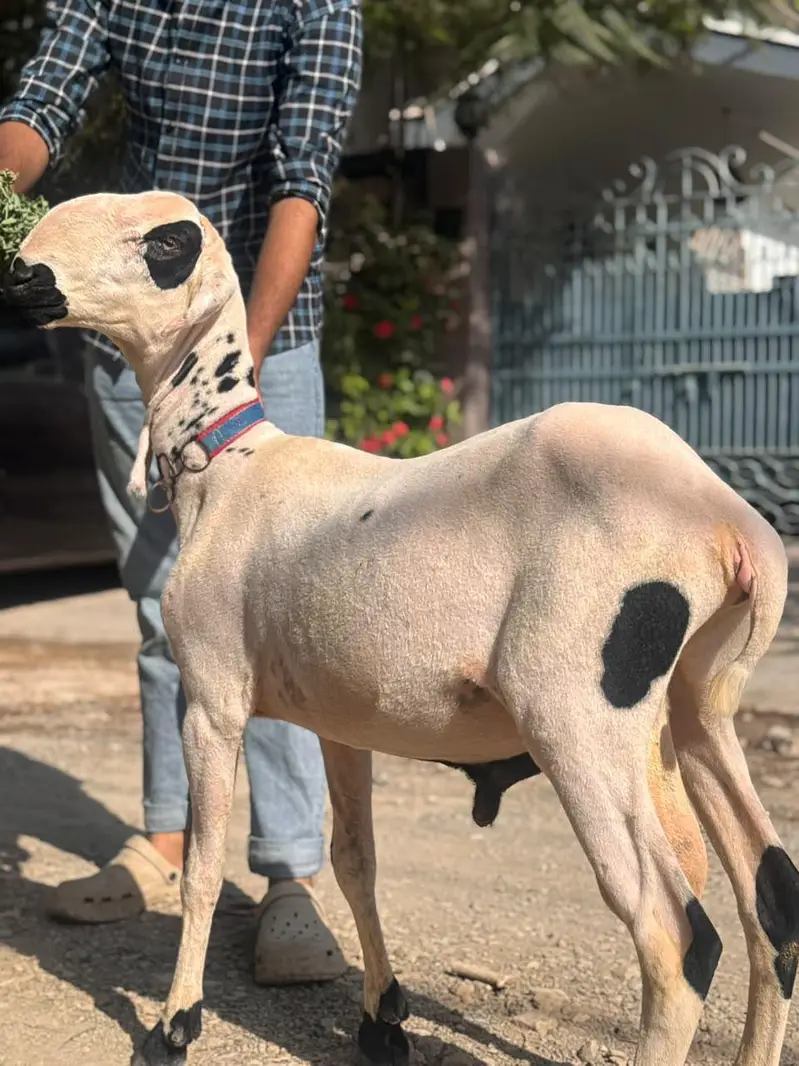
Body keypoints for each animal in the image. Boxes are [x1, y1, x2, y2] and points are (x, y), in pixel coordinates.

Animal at [3, 189, 796, 1066]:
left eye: (165, 243)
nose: (24, 272)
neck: (229, 466)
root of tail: (727, 521)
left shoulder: (211, 700)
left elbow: (205, 868)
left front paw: (175, 1025)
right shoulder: (339, 723)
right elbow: (356, 863)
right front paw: (382, 1017)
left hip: (577, 709)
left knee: (672, 934)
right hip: (696, 705)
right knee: (772, 903)